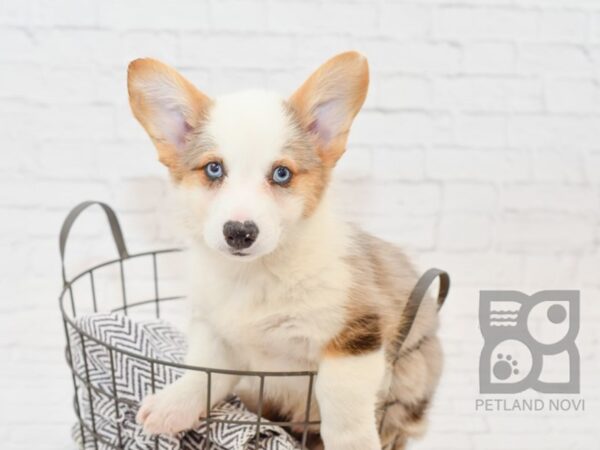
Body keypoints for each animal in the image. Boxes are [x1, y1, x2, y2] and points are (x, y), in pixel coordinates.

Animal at [129, 51, 442, 450]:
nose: (240, 233)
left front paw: (351, 443)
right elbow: (202, 372)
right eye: (213, 169)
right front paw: (174, 404)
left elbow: (341, 403)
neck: (257, 274)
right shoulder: (219, 336)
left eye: (281, 174)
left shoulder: (357, 334)